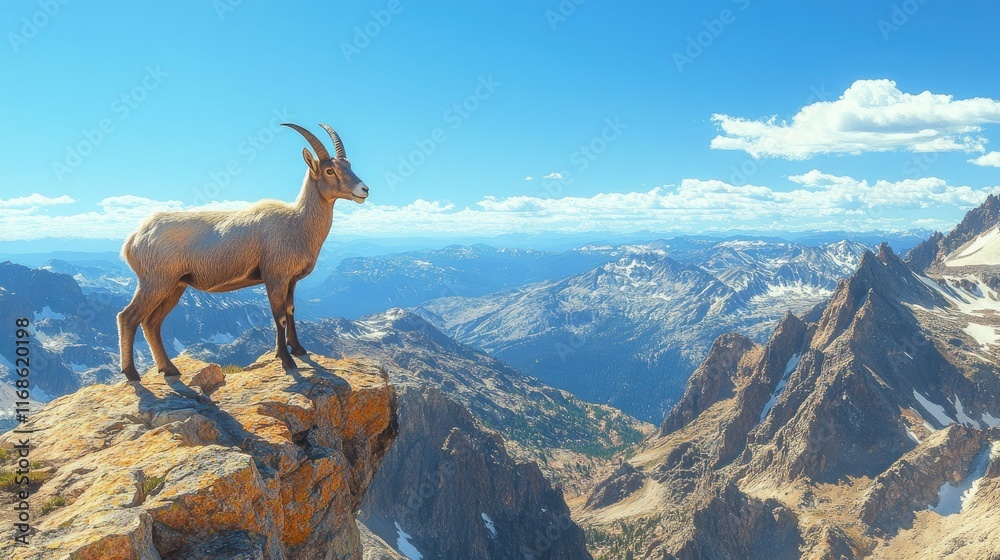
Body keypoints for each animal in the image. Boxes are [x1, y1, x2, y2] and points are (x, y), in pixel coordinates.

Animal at [117, 123, 368, 381]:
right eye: (329, 170)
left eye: (348, 165)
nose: (364, 189)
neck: (296, 223)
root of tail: (134, 239)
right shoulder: (275, 276)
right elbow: (279, 315)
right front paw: (286, 360)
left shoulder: (291, 280)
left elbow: (290, 311)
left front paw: (298, 349)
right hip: (155, 281)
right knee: (128, 317)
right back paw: (132, 373)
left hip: (175, 285)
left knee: (151, 323)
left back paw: (168, 369)